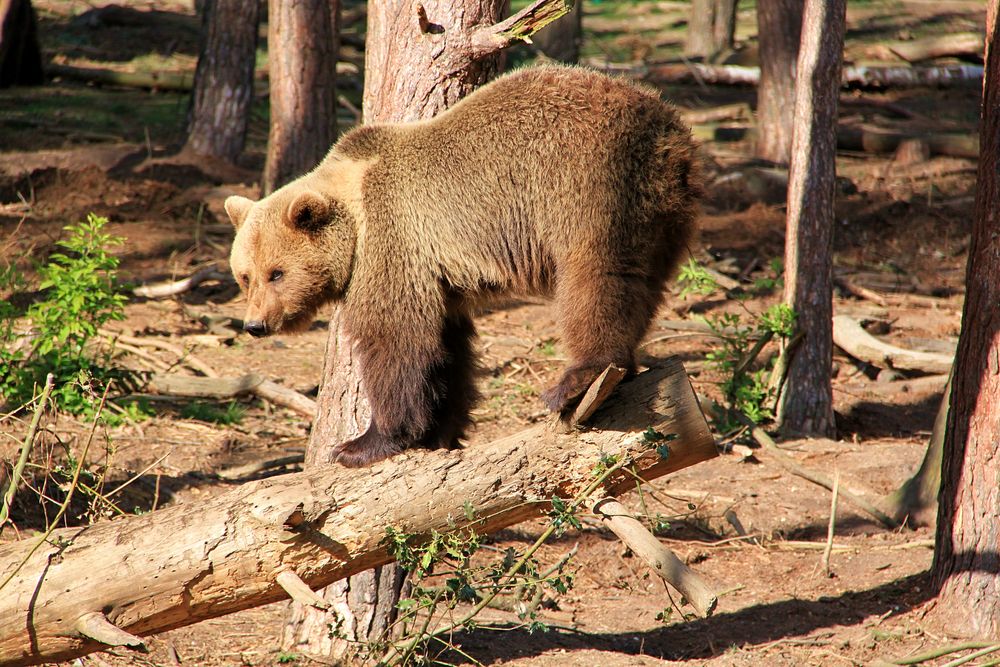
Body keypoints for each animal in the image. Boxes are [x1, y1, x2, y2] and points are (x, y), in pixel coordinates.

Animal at [226, 65, 700, 468]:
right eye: (245, 276)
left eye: (276, 273)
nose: (255, 324)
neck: (355, 210)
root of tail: (667, 126)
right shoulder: (440, 279)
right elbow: (445, 349)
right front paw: (439, 428)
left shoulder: (394, 237)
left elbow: (394, 336)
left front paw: (362, 443)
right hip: (661, 208)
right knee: (642, 281)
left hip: (588, 182)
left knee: (597, 278)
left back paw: (577, 380)